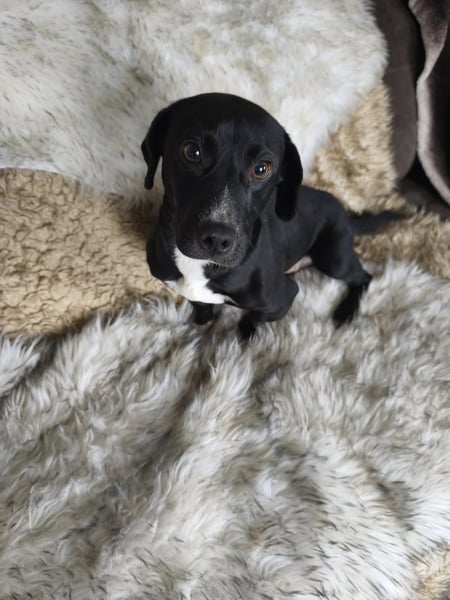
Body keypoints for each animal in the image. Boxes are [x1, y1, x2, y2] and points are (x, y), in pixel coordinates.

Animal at [142, 93, 400, 338]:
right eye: (192, 152)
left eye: (261, 169)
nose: (217, 239)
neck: (200, 267)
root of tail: (344, 211)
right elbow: (200, 304)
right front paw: (202, 323)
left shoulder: (284, 295)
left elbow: (253, 317)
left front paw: (244, 338)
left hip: (334, 259)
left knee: (365, 278)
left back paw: (346, 311)